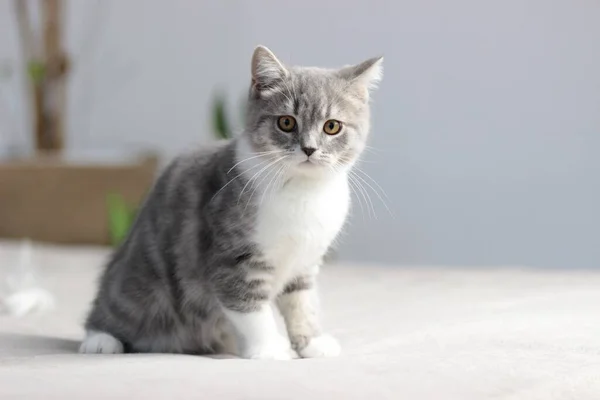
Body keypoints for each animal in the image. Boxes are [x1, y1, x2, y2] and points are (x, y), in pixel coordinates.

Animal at [79, 46, 382, 360]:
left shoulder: (305, 261)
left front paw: (311, 341)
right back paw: (101, 339)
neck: (302, 191)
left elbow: (302, 303)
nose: (309, 149)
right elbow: (250, 308)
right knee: (114, 309)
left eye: (332, 126)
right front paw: (269, 349)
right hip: (140, 286)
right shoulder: (232, 255)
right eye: (286, 122)